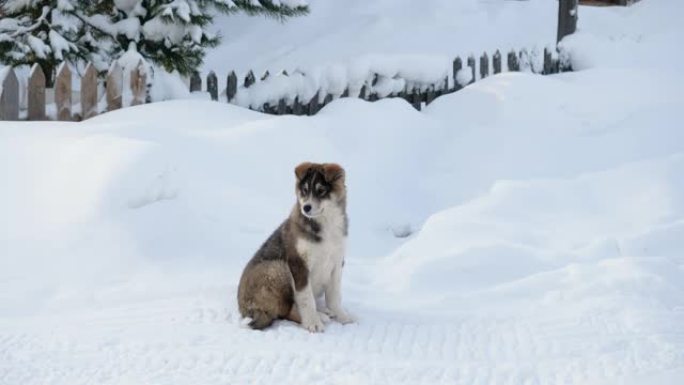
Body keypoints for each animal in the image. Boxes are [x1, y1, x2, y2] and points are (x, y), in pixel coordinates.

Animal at [236, 161, 352, 330]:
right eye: (304, 191)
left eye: (321, 191)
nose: (306, 208)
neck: (325, 224)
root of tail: (245, 308)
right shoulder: (299, 263)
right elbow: (306, 299)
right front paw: (313, 323)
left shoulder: (337, 262)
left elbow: (334, 296)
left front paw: (343, 317)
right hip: (278, 268)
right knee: (287, 311)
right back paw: (320, 316)